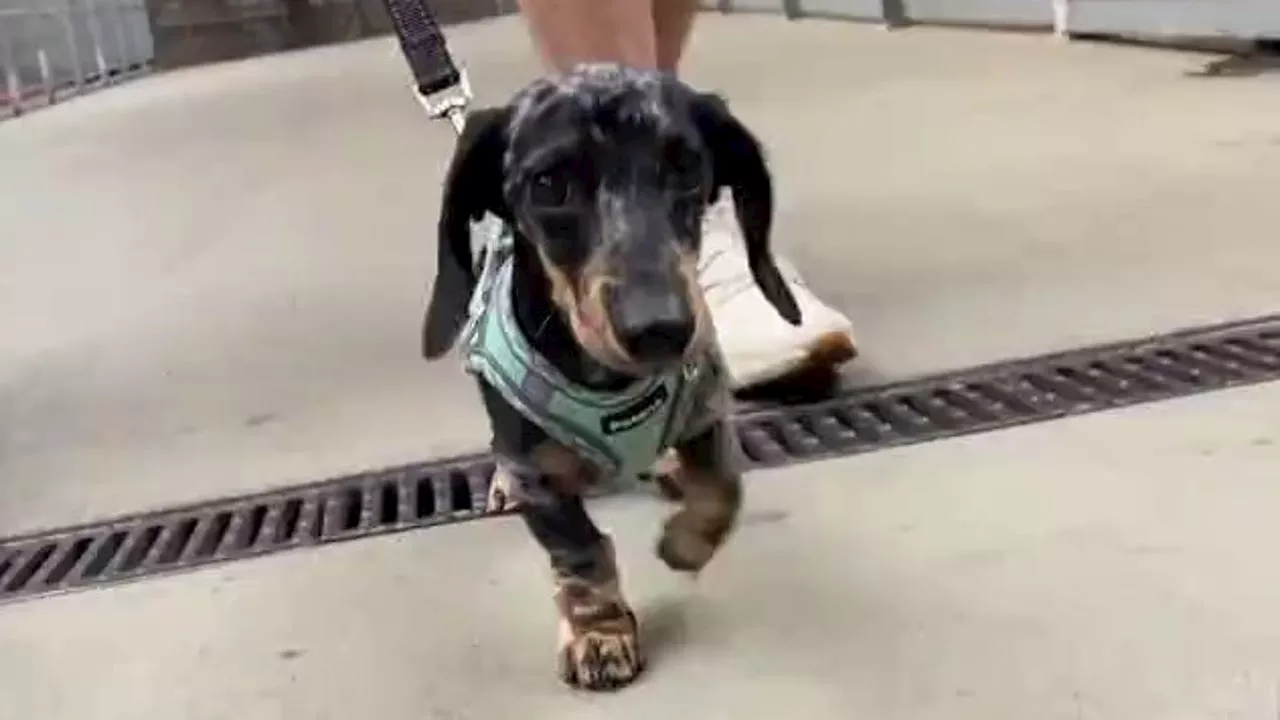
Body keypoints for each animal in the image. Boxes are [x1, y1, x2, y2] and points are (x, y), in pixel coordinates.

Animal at [419, 63, 798, 691]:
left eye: (686, 166)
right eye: (549, 184)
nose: (661, 329)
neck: (612, 386)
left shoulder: (707, 409)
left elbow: (722, 486)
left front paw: (684, 544)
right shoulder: (539, 473)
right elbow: (582, 553)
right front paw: (599, 631)